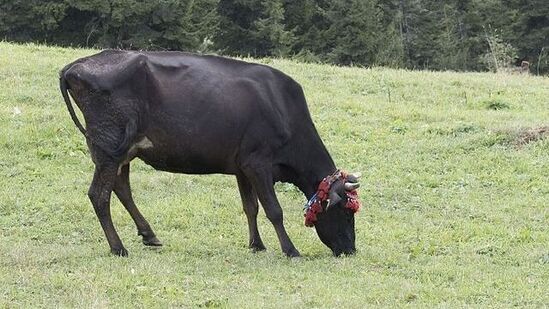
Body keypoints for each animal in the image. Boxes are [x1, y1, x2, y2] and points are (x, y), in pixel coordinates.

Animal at [60, 50, 360, 256]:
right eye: (347, 212)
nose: (350, 250)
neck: (284, 110)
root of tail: (75, 66)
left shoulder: (242, 166)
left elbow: (250, 207)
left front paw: (256, 244)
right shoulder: (258, 162)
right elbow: (274, 210)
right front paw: (290, 250)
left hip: (122, 150)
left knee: (121, 188)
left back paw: (149, 234)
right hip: (108, 146)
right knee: (99, 195)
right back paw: (118, 247)